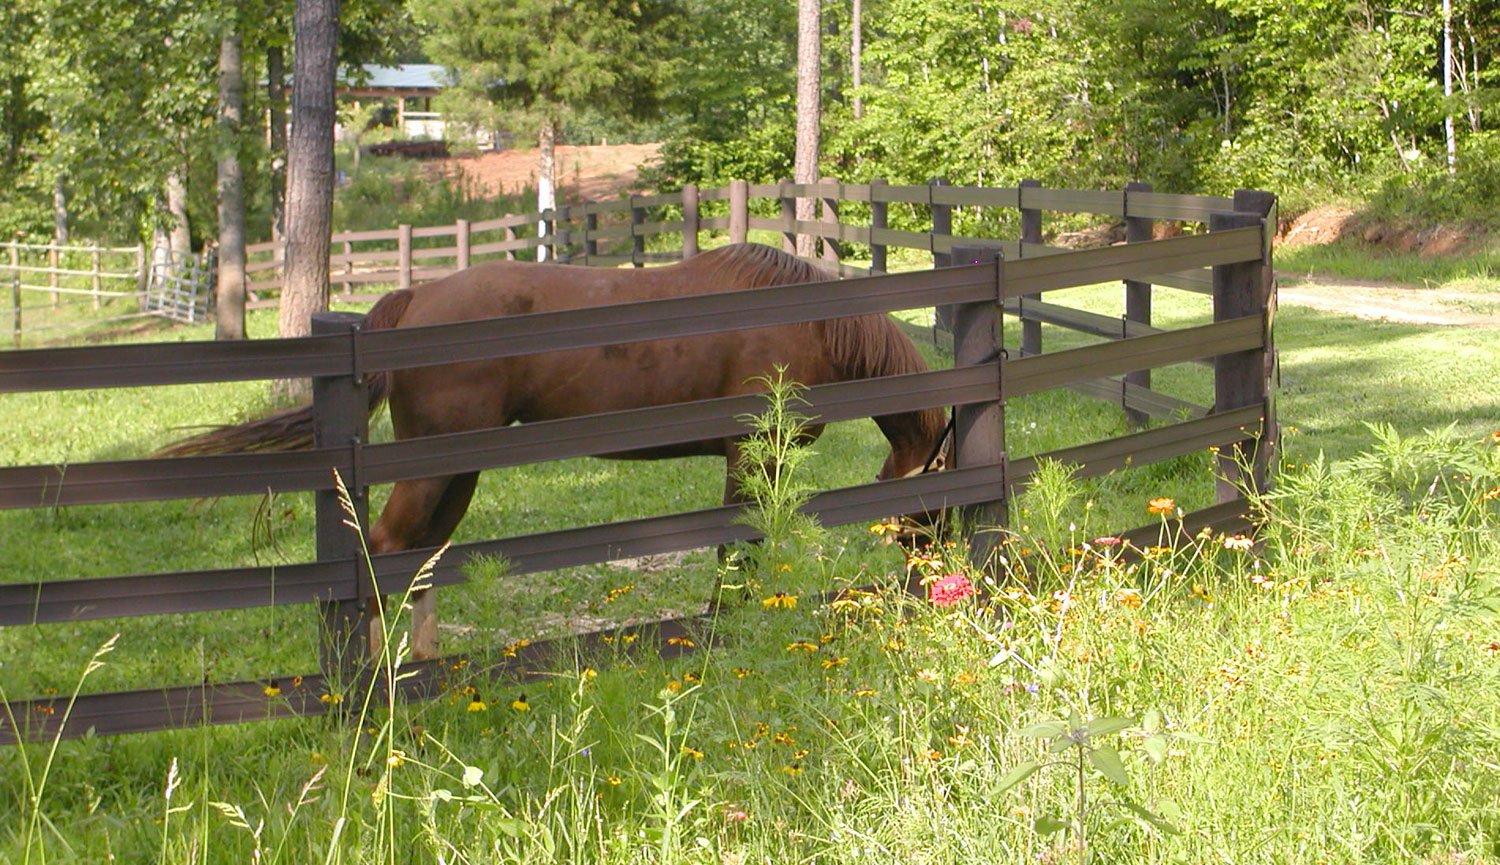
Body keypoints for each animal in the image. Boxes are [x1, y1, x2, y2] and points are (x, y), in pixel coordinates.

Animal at [170, 242, 942, 653]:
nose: (936, 582)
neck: (807, 322)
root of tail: (417, 298)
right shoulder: (752, 454)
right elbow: (736, 547)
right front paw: (725, 624)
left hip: (458, 471)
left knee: (420, 559)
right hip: (437, 467)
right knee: (386, 550)